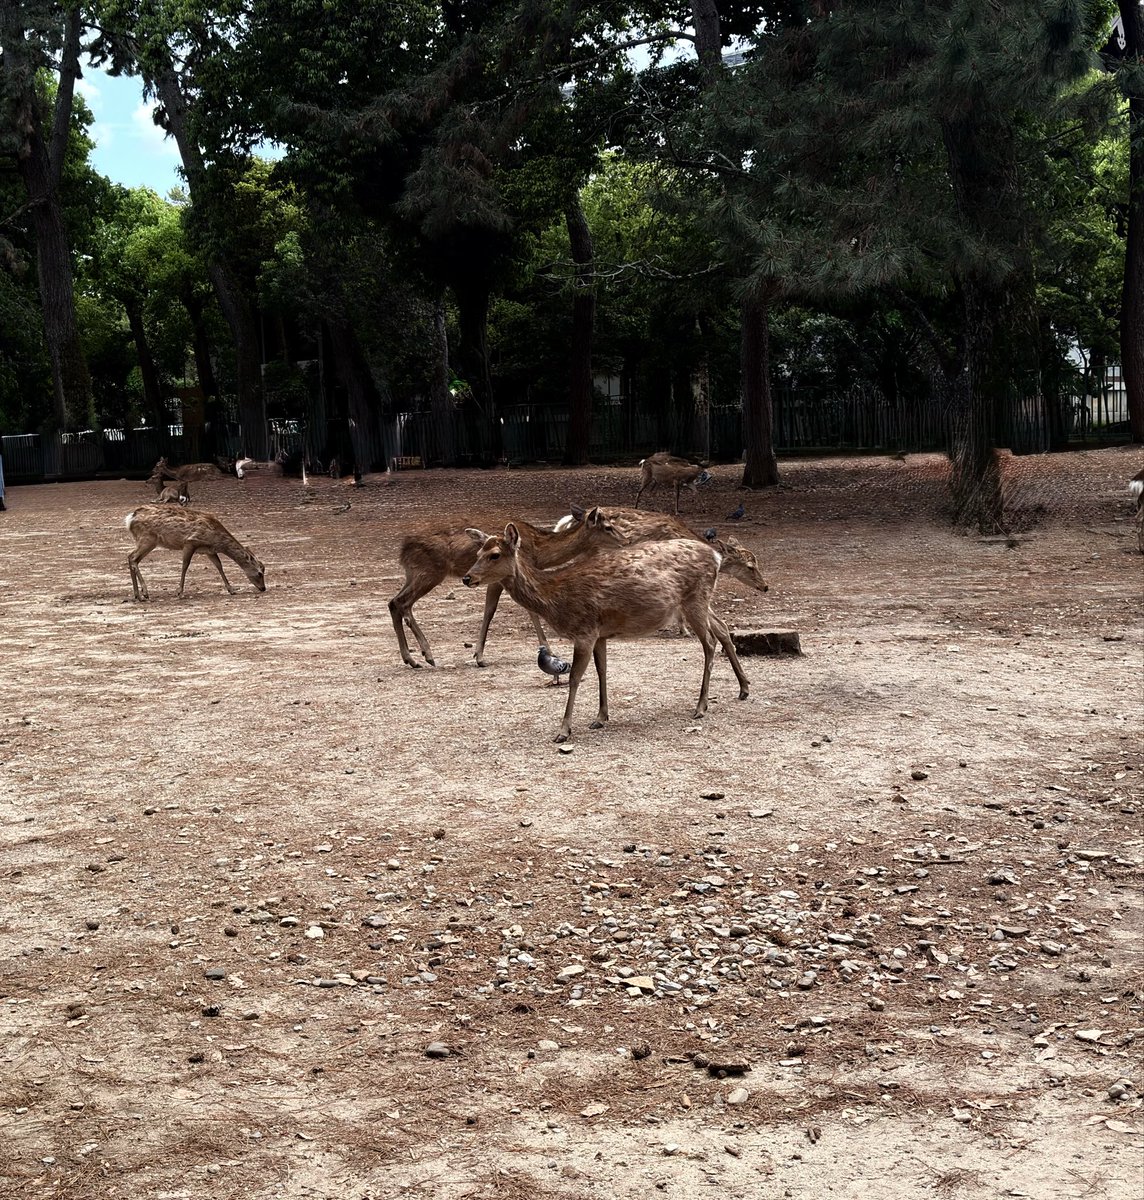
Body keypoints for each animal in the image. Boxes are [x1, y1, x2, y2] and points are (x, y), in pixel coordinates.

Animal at [125, 505, 266, 601]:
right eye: (260, 573)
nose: (264, 588)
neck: (216, 540)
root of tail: (130, 518)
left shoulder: (209, 551)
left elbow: (219, 566)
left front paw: (231, 590)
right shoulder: (190, 542)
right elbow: (185, 565)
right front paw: (180, 592)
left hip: (148, 541)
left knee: (131, 557)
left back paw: (137, 595)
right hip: (147, 538)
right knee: (132, 558)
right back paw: (145, 592)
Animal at [389, 509, 624, 669]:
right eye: (607, 527)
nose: (624, 541)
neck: (539, 552)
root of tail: (402, 549)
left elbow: (491, 610)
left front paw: (478, 654)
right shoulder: (503, 577)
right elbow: (505, 611)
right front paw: (481, 657)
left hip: (413, 574)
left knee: (394, 602)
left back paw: (412, 658)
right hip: (429, 572)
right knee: (402, 603)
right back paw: (425, 655)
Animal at [462, 526, 751, 742]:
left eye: (495, 555)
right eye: (478, 552)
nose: (467, 578)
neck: (555, 598)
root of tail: (716, 557)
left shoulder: (584, 630)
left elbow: (575, 678)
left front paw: (563, 731)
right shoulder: (600, 633)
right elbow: (602, 670)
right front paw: (601, 717)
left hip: (695, 597)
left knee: (709, 643)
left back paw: (701, 707)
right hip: (700, 600)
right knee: (723, 628)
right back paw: (744, 688)